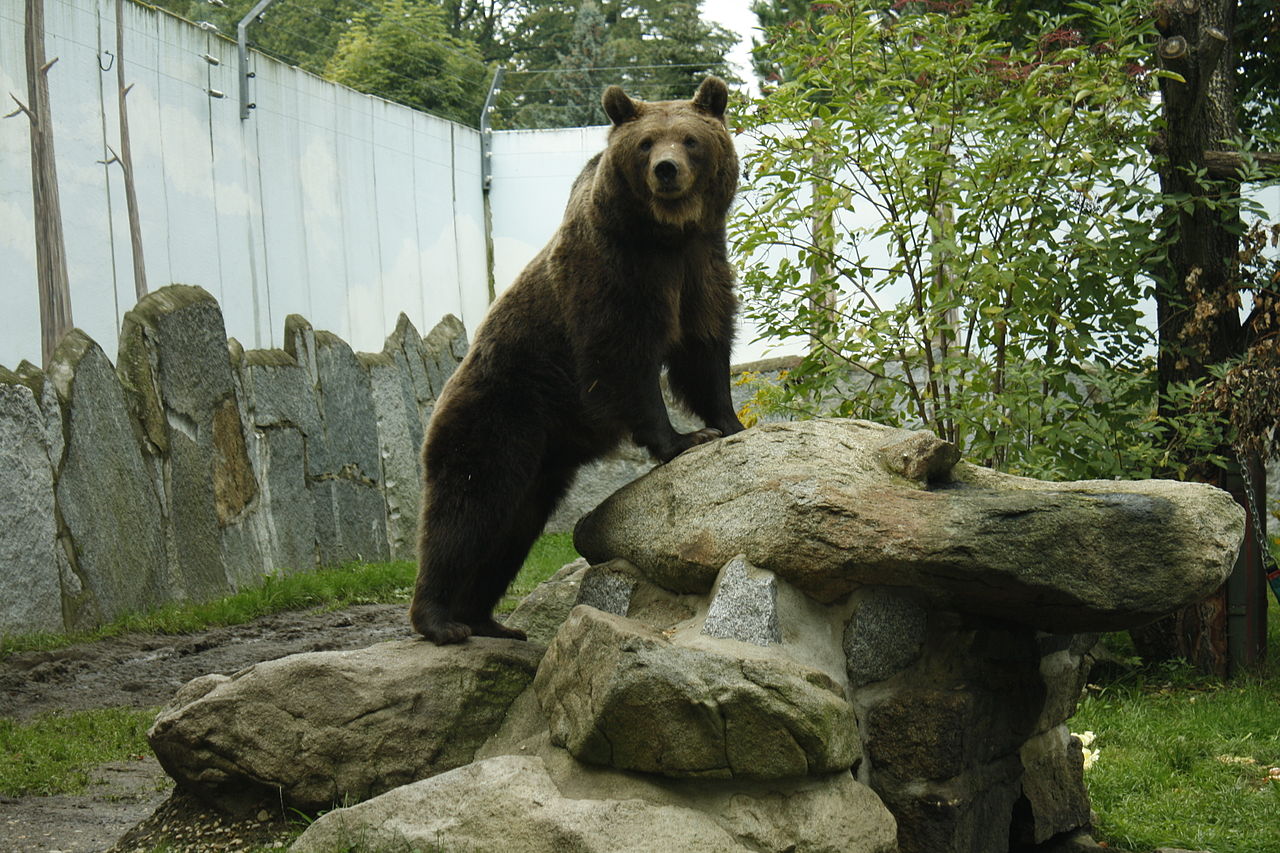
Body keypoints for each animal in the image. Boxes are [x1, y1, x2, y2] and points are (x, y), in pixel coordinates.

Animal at [409, 76, 747, 640]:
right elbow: (622, 358)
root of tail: (440, 396)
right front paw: (682, 438)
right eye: (646, 143)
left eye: (690, 139)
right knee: (468, 510)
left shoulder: (702, 265)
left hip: (542, 457)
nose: (667, 170)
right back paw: (439, 619)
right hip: (499, 414)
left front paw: (731, 422)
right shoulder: (613, 272)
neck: (666, 233)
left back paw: (488, 620)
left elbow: (704, 351)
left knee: (513, 528)